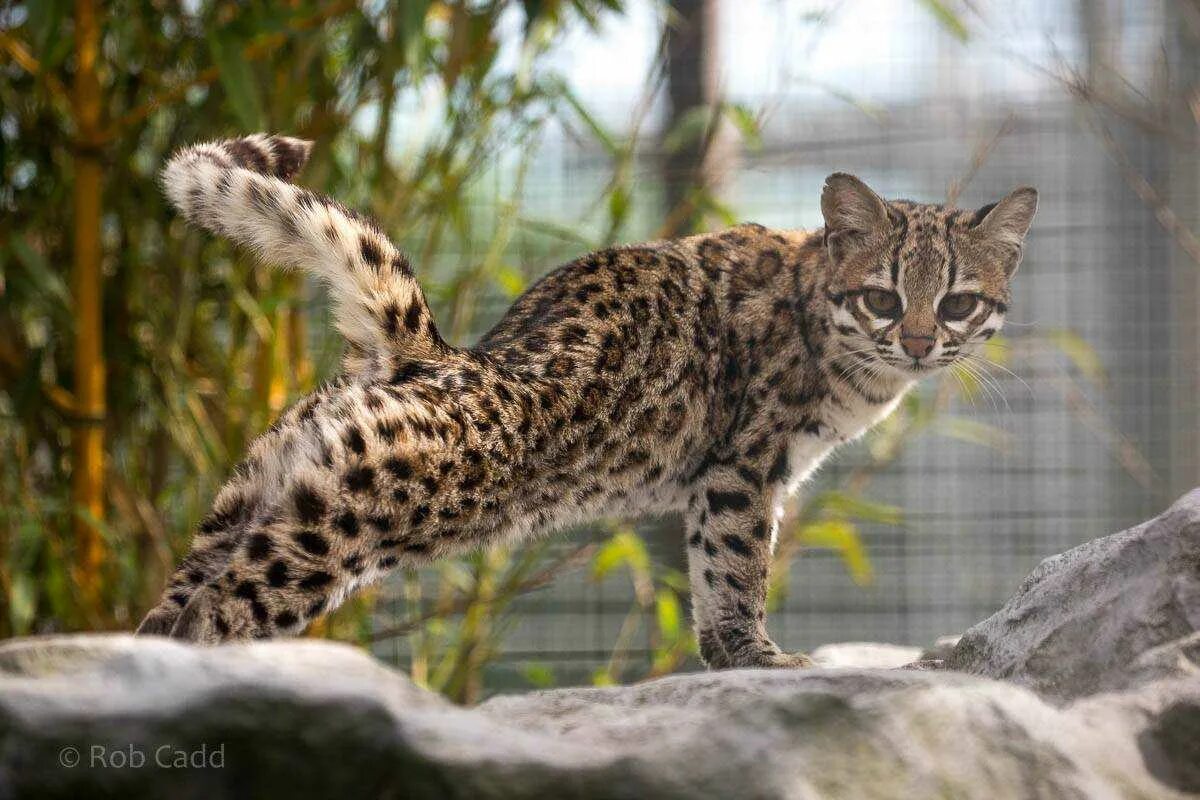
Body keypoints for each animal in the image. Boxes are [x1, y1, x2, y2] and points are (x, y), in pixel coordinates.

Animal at [136, 133, 1036, 671]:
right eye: (884, 298)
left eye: (957, 303)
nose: (918, 345)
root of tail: (431, 354)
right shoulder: (743, 469)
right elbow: (739, 567)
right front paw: (758, 656)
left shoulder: (718, 482)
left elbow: (710, 570)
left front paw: (726, 656)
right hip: (331, 531)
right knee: (216, 616)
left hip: (252, 501)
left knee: (165, 614)